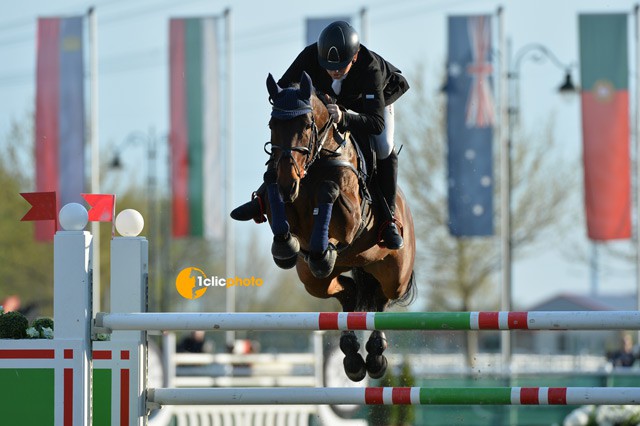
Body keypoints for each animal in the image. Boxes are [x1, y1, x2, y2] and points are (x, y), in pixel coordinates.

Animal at [262, 71, 418, 382]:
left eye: (305, 125)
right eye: (273, 125)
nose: (288, 182)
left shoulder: (351, 218)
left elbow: (330, 191)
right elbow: (275, 200)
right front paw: (286, 247)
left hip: (395, 276)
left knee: (381, 300)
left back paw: (375, 356)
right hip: (314, 281)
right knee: (350, 292)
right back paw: (353, 357)